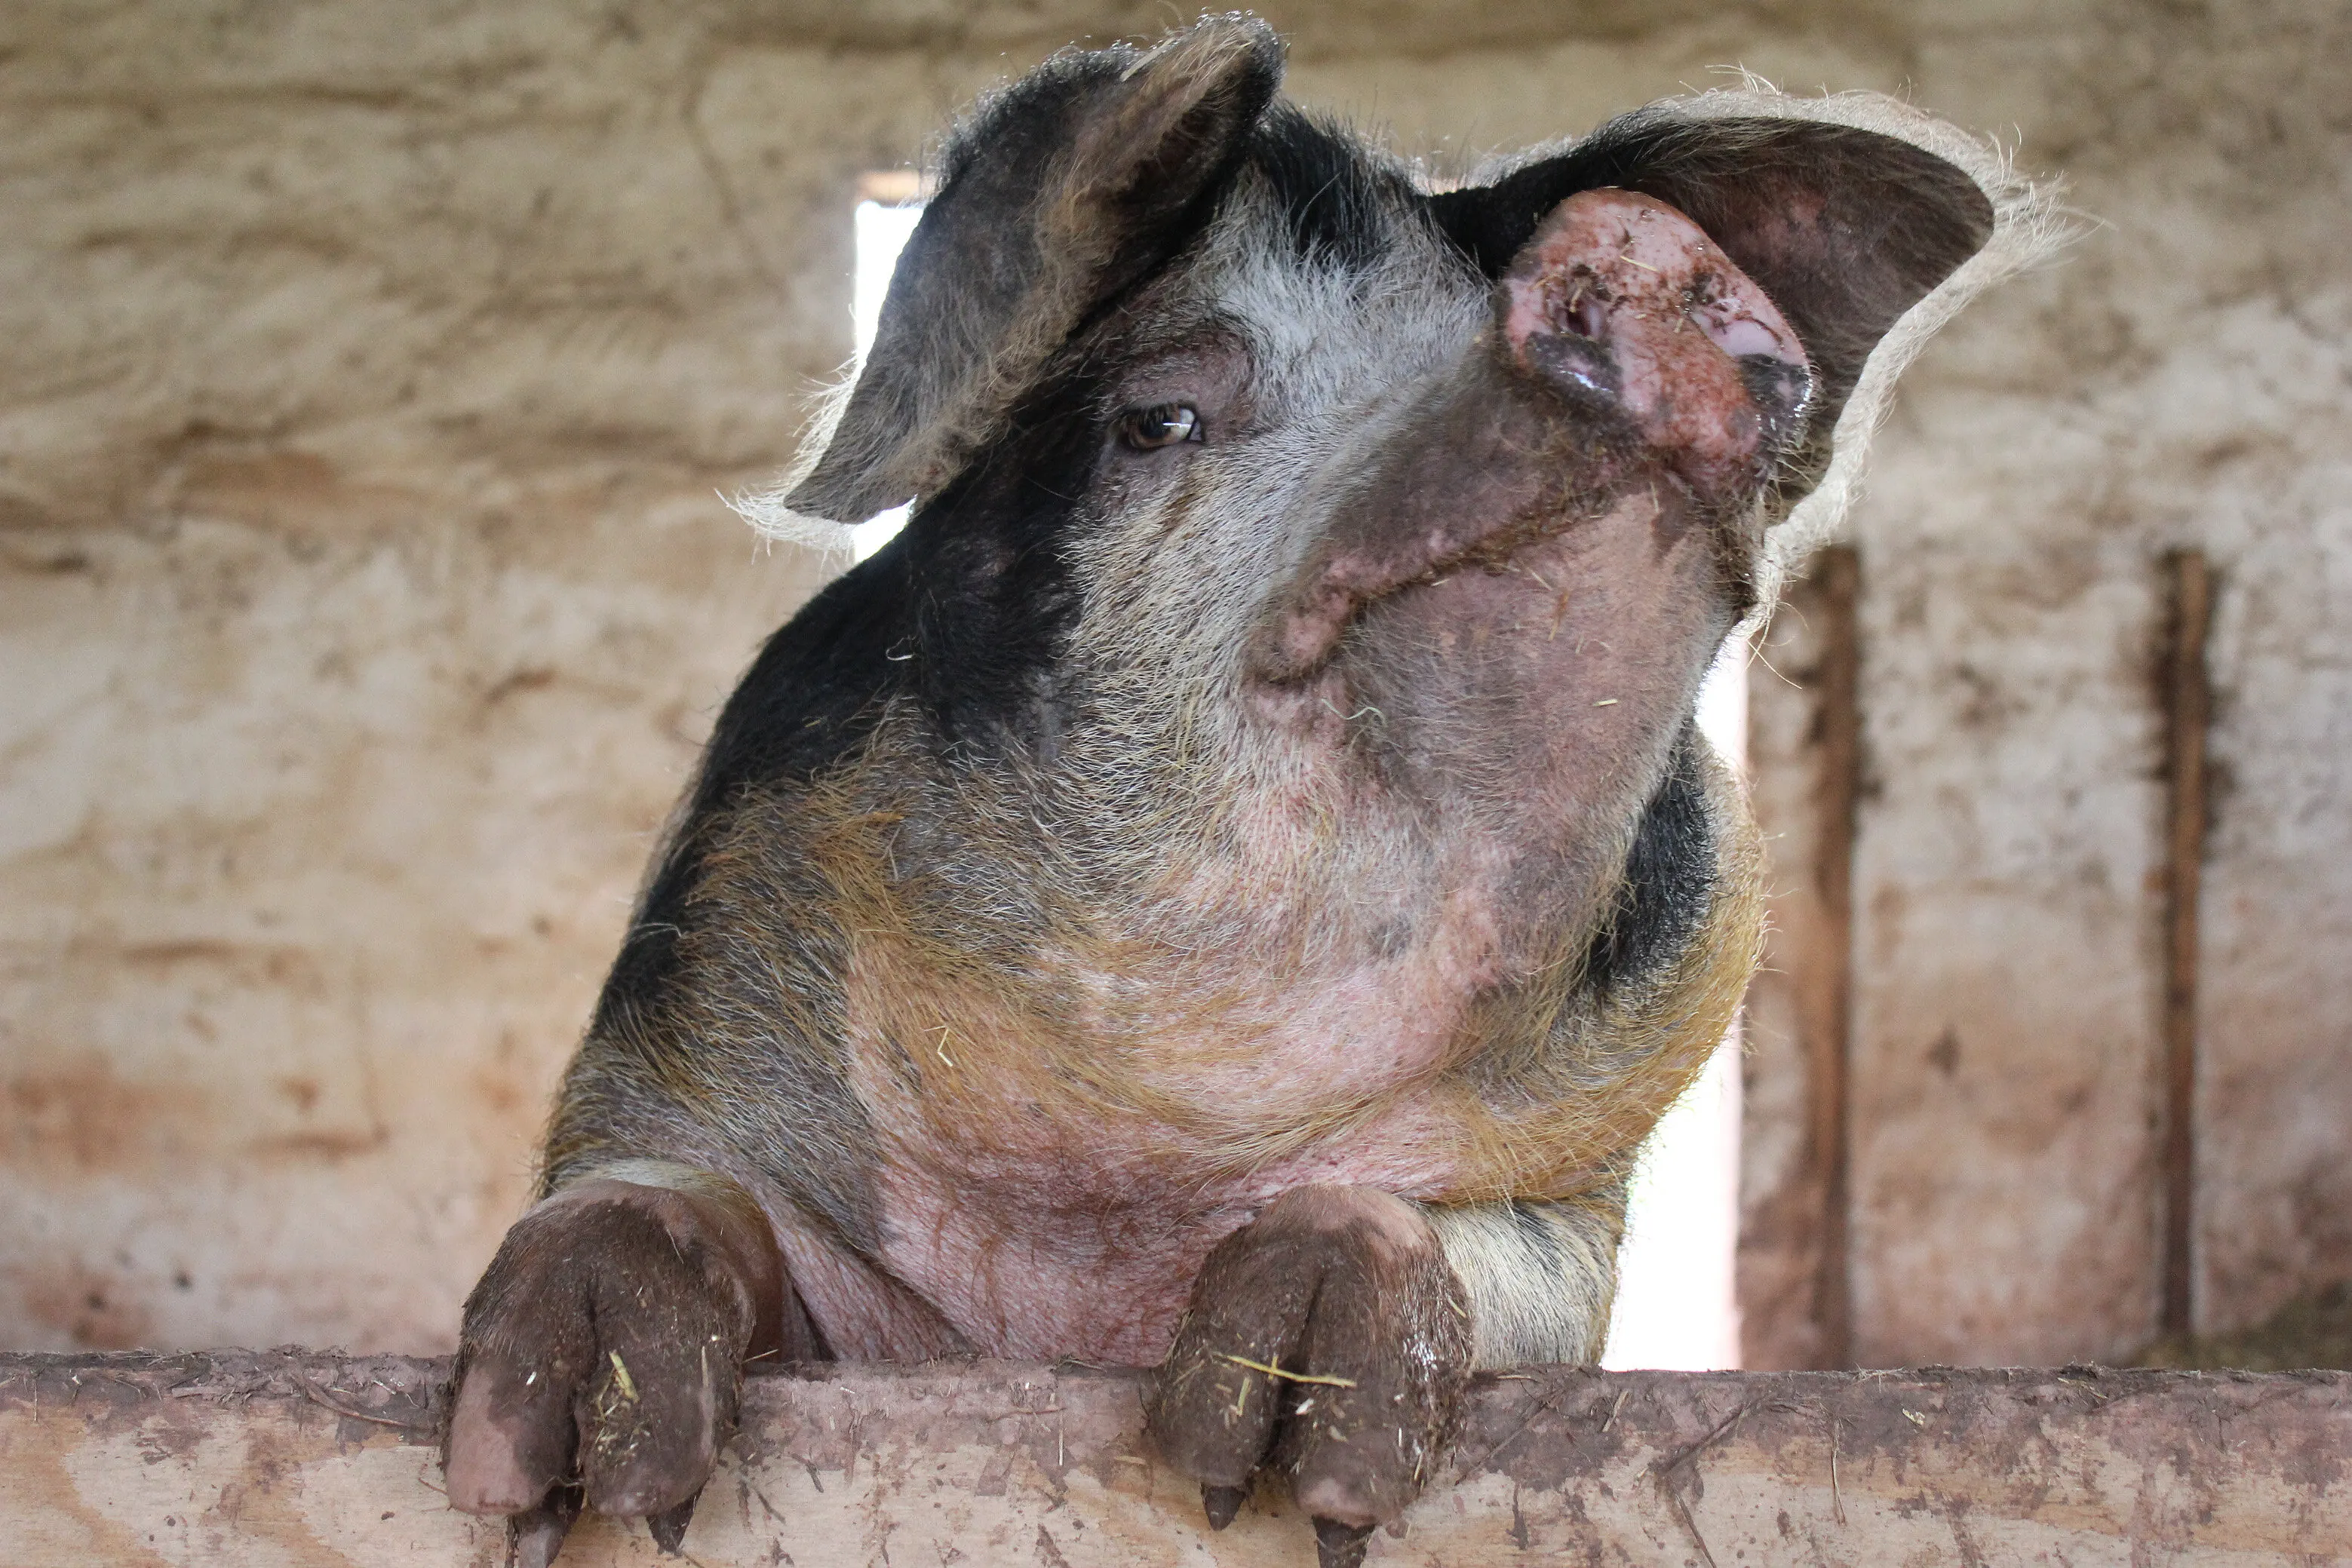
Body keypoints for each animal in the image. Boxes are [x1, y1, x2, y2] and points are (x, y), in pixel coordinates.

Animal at [442, 17, 2048, 1566]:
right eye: (1159, 416)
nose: (1629, 245)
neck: (1114, 1188)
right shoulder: (687, 1025)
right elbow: (646, 1192)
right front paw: (558, 1479)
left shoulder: (1581, 1203)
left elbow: (1453, 1244)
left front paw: (1266, 1462)